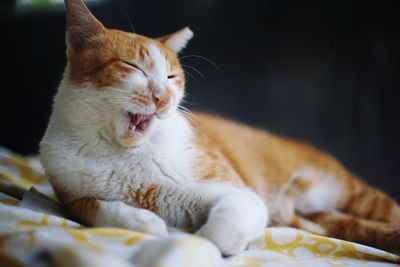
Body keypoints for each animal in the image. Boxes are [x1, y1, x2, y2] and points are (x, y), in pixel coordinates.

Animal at [40, 0, 400, 256]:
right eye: (132, 66)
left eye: (171, 76)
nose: (163, 96)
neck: (125, 154)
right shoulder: (69, 194)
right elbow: (90, 206)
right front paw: (144, 221)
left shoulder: (237, 192)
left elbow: (219, 232)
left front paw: (207, 243)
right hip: (325, 216)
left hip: (353, 195)